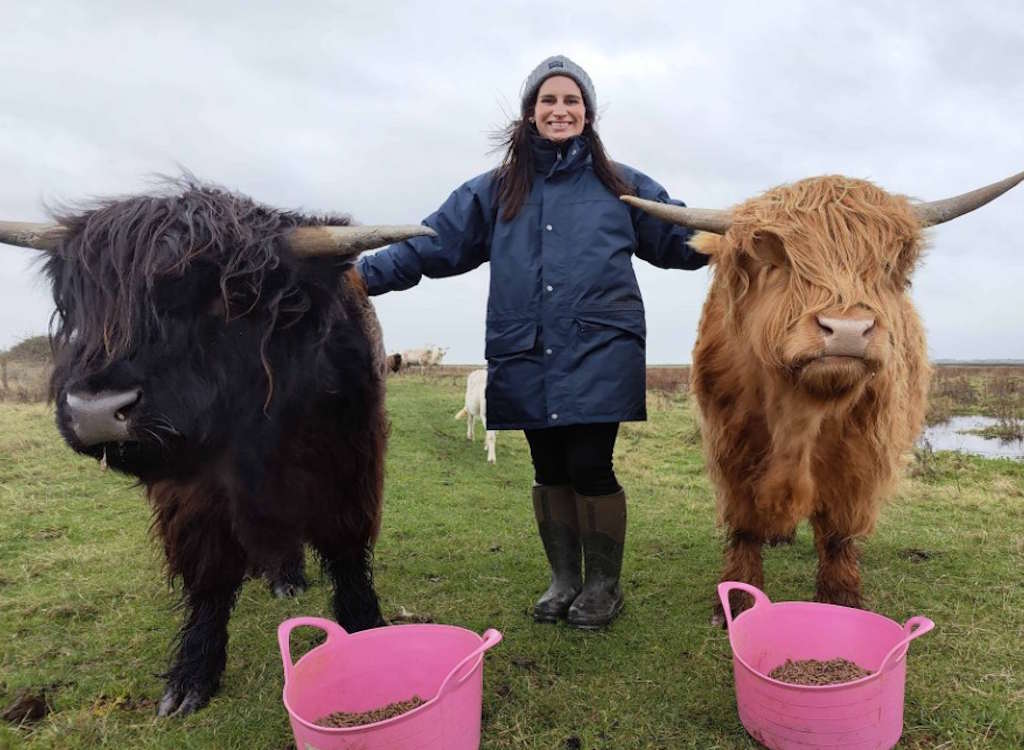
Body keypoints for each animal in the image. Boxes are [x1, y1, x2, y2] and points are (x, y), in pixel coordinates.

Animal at [0, 181, 432, 713]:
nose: (95, 410)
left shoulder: (350, 463)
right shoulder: (190, 493)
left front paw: (368, 631)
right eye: (80, 298)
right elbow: (207, 574)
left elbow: (347, 551)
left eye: (230, 298)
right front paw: (192, 675)